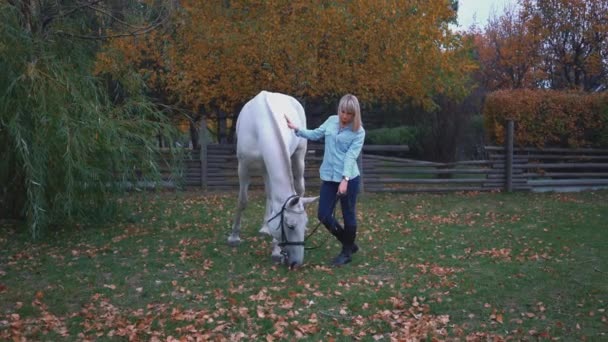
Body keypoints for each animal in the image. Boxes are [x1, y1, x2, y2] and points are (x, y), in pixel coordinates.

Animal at [228, 90, 318, 268]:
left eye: (303, 222)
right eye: (290, 226)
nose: (297, 263)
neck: (260, 127)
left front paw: (276, 251)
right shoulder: (243, 168)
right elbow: (242, 201)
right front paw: (234, 237)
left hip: (299, 157)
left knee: (299, 188)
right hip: (264, 170)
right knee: (269, 195)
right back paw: (265, 228)